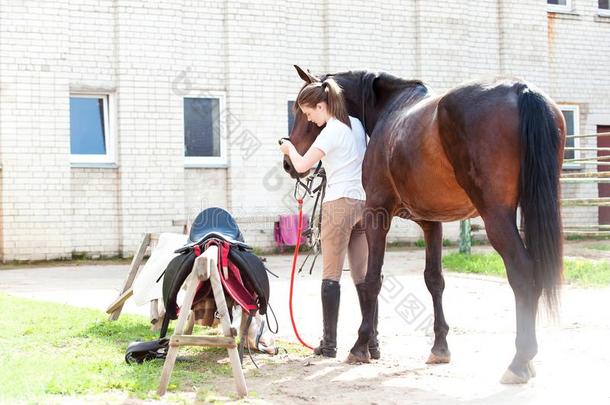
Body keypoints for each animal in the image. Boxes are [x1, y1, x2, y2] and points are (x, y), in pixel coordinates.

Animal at [282, 64, 564, 382]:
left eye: (301, 110)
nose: (289, 164)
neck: (388, 112)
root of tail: (521, 89)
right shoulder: (432, 223)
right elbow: (434, 280)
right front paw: (440, 348)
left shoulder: (377, 214)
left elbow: (372, 279)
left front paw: (360, 345)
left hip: (497, 216)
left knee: (523, 272)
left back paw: (519, 361)